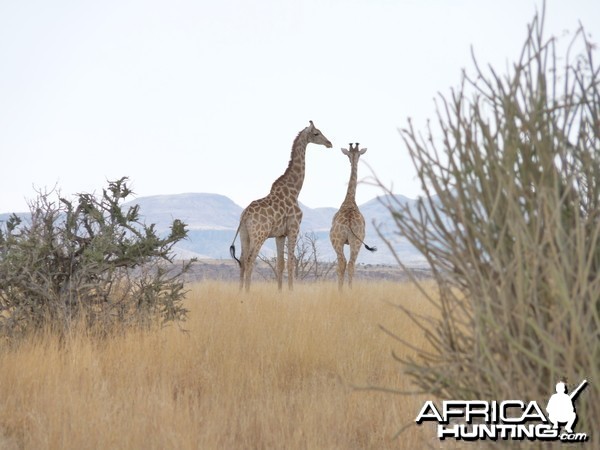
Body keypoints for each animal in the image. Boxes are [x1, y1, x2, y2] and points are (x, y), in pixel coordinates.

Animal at [230, 121, 332, 294]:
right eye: (316, 133)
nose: (329, 143)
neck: (295, 190)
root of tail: (244, 216)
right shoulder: (293, 228)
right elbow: (290, 262)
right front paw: (291, 291)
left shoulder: (280, 234)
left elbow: (280, 263)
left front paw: (280, 291)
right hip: (259, 234)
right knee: (250, 259)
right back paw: (248, 292)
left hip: (245, 234)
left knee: (243, 260)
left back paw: (239, 291)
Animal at [330, 144, 378, 292]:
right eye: (349, 155)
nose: (351, 161)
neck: (350, 201)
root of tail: (350, 221)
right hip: (356, 241)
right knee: (351, 263)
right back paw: (350, 290)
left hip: (338, 240)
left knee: (343, 263)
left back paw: (341, 291)